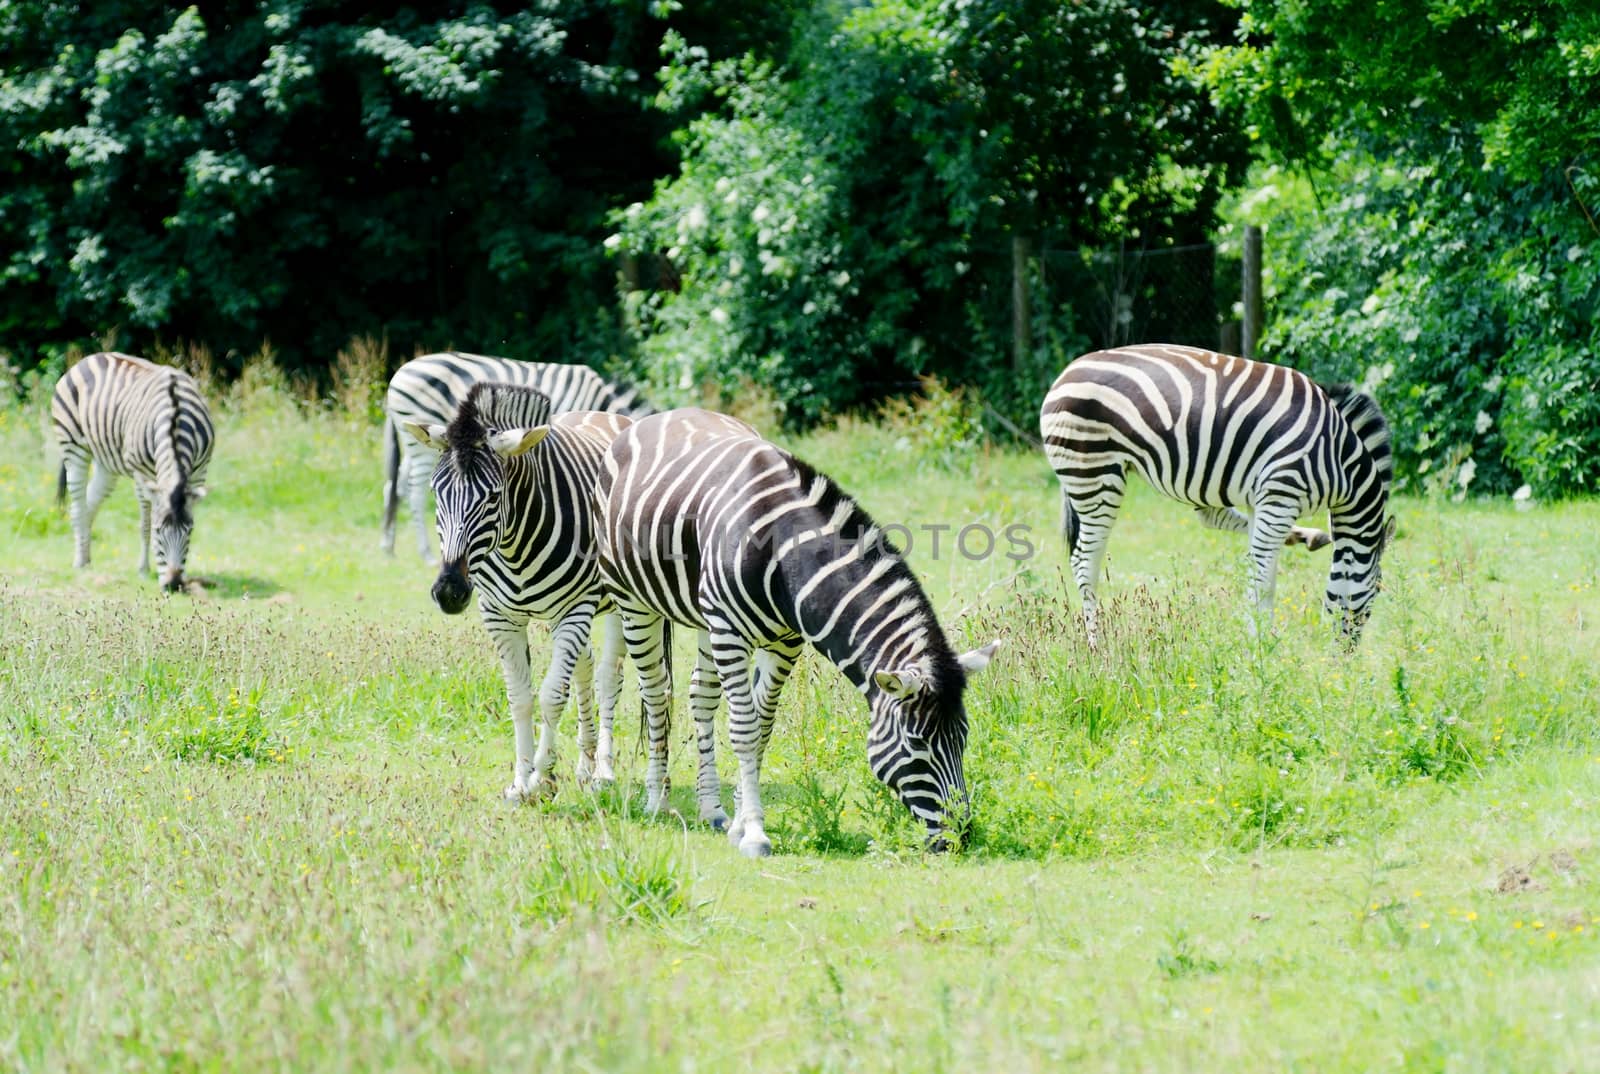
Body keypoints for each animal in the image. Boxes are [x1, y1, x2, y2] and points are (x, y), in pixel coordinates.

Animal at [50, 352, 214, 592]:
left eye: (189, 532)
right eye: (158, 532)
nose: (173, 585)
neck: (175, 420)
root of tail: (90, 357)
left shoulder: (198, 472)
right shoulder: (141, 474)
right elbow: (145, 524)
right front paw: (143, 570)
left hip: (106, 464)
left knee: (90, 503)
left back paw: (87, 556)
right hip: (73, 446)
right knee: (78, 506)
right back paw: (79, 561)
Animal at [380, 352, 649, 563]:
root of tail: (399, 373)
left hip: (413, 440)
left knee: (394, 487)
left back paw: (388, 547)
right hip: (421, 439)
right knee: (414, 492)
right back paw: (426, 554)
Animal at [403, 384, 633, 797]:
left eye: (493, 497)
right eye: (435, 494)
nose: (449, 592)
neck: (515, 546)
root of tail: (608, 415)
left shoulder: (574, 608)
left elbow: (551, 694)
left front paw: (541, 777)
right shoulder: (500, 616)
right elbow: (521, 697)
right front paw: (521, 780)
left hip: (616, 603)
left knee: (610, 674)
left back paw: (603, 770)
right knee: (586, 665)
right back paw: (585, 764)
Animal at [598, 408, 998, 864]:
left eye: (962, 739)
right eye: (918, 743)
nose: (960, 838)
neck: (783, 550)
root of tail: (655, 417)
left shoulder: (784, 643)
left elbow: (762, 728)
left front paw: (739, 824)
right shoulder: (731, 633)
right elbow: (744, 730)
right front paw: (755, 834)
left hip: (703, 616)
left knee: (700, 695)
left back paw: (710, 808)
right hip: (633, 599)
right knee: (654, 691)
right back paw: (657, 801)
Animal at [1043, 344, 1395, 646]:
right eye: (1377, 590)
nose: (1345, 658)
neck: (1340, 462)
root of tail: (1065, 373)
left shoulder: (1265, 501)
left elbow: (1264, 577)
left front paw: (1265, 641)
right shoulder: (1281, 496)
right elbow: (1261, 580)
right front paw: (1258, 648)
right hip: (1095, 475)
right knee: (1084, 561)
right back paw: (1098, 645)